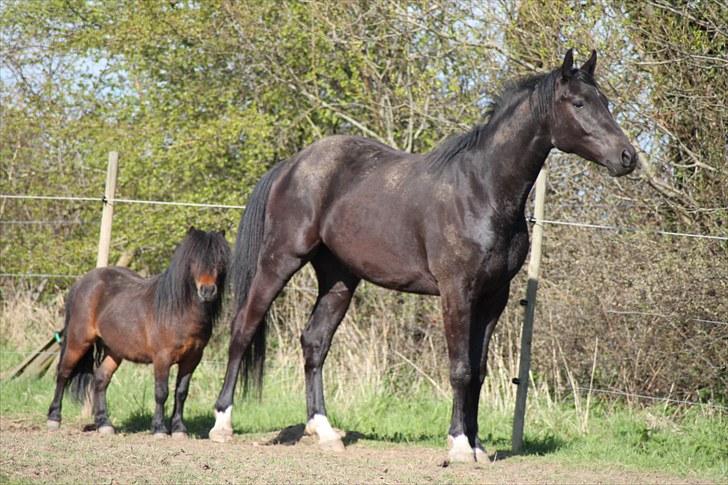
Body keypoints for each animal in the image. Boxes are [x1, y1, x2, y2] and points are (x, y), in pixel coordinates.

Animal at [47, 226, 229, 434]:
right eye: (194, 260)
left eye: (220, 261)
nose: (207, 291)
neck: (178, 311)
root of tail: (82, 282)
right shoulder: (162, 358)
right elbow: (161, 392)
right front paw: (159, 428)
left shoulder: (192, 359)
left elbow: (181, 392)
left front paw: (179, 428)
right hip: (79, 341)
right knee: (63, 373)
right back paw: (54, 418)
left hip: (114, 350)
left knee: (101, 379)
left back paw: (104, 424)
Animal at [208, 50, 636, 462]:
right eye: (578, 103)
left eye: (605, 102)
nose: (627, 156)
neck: (483, 190)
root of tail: (291, 166)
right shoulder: (456, 291)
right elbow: (460, 369)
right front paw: (460, 446)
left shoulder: (494, 297)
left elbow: (478, 370)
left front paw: (477, 445)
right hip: (279, 261)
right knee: (243, 328)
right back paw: (222, 424)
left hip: (339, 278)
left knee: (315, 342)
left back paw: (325, 431)